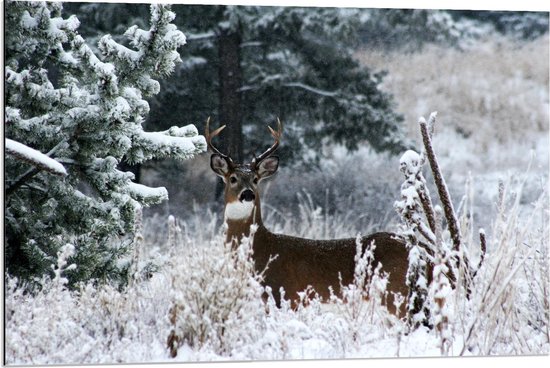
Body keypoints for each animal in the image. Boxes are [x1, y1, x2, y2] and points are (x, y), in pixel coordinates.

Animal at [209, 118, 416, 316]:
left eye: (255, 179)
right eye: (233, 178)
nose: (247, 194)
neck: (262, 248)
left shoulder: (284, 294)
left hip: (394, 291)